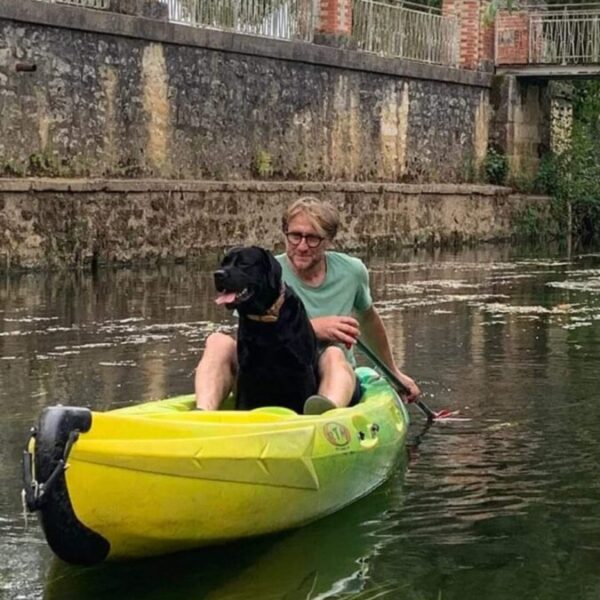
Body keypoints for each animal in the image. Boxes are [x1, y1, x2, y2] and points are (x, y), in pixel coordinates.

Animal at [214, 246, 318, 414]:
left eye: (244, 263)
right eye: (223, 263)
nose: (218, 274)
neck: (264, 318)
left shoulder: (303, 368)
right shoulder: (246, 370)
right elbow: (242, 405)